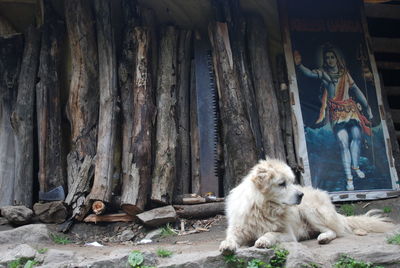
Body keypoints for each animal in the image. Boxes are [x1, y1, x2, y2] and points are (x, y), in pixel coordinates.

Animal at [219, 158, 394, 254]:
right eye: (282, 184)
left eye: (292, 181)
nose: (300, 195)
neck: (264, 208)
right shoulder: (239, 229)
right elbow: (230, 237)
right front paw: (227, 245)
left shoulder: (288, 235)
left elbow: (271, 233)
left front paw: (263, 240)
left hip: (311, 211)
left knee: (333, 231)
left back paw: (323, 238)